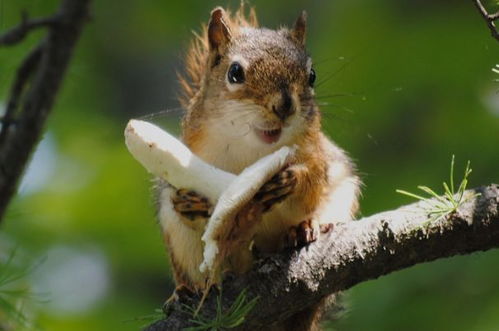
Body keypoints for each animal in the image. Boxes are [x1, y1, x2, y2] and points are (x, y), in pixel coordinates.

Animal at [155, 5, 360, 331]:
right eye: (235, 73)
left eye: (312, 75)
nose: (285, 105)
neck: (253, 148)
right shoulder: (191, 154)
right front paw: (189, 202)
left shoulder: (317, 152)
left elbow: (313, 178)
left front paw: (292, 179)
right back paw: (187, 291)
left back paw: (305, 228)